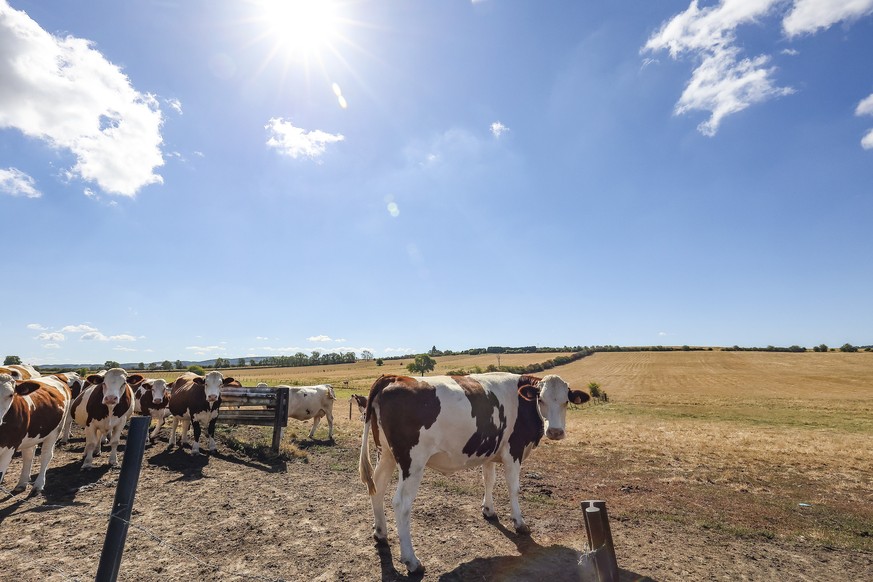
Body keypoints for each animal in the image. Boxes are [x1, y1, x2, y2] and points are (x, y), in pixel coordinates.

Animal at [358, 374, 588, 576]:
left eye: (566, 401)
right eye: (541, 399)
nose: (556, 432)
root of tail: (394, 377)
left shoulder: (490, 451)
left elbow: (489, 480)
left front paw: (489, 510)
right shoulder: (514, 450)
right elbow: (513, 488)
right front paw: (519, 523)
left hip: (385, 454)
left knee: (377, 488)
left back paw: (380, 532)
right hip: (412, 462)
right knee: (401, 504)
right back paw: (412, 562)